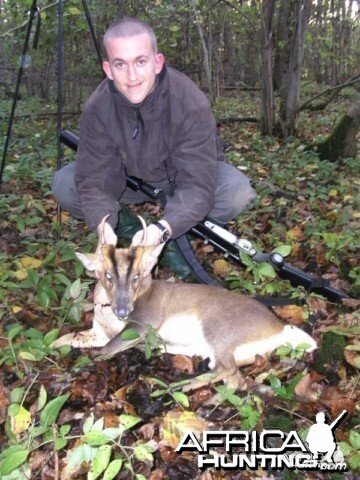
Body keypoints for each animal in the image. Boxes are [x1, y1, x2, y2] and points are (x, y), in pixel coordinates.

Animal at [52, 216, 316, 388]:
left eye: (136, 276)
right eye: (108, 275)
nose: (123, 311)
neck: (108, 313)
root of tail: (280, 328)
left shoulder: (144, 322)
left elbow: (104, 352)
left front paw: (67, 374)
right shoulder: (98, 331)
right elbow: (67, 338)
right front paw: (51, 350)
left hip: (219, 329)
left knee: (230, 371)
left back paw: (177, 388)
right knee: (235, 380)